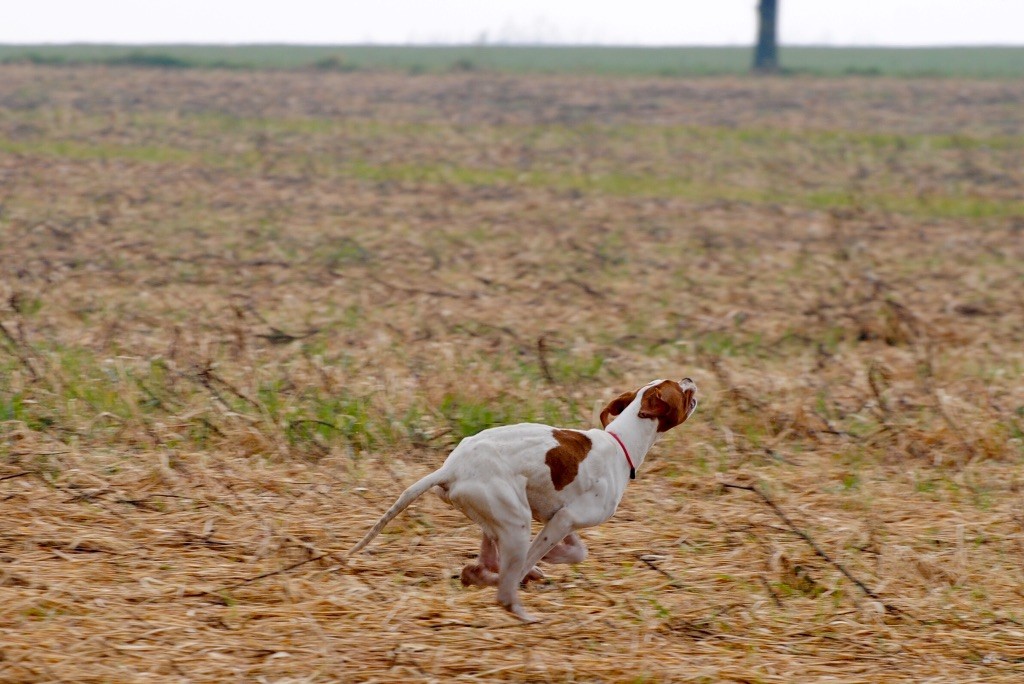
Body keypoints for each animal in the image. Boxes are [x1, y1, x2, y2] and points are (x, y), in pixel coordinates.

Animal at [350, 376, 696, 622]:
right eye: (679, 389)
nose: (690, 378)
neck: (620, 441)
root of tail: (451, 468)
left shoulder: (559, 522)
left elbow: (575, 552)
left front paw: (546, 563)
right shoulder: (563, 520)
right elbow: (534, 558)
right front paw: (531, 570)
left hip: (497, 518)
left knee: (489, 560)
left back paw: (488, 574)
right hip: (516, 524)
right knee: (504, 588)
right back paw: (521, 609)